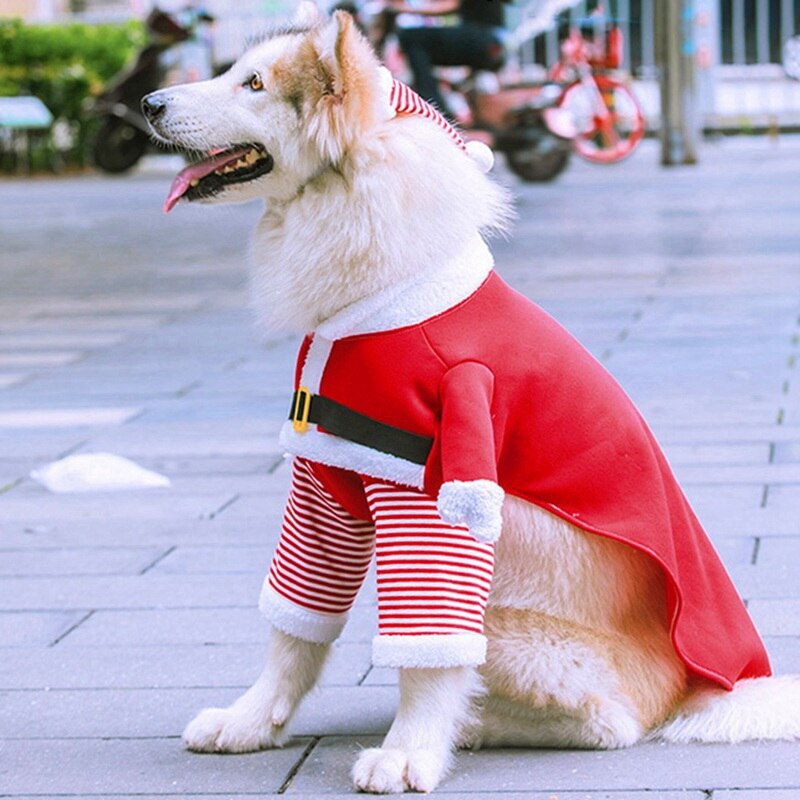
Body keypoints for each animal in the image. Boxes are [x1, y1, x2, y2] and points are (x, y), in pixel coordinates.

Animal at [144, 4, 800, 792]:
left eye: (253, 85)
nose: (147, 103)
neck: (377, 299)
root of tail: (700, 690)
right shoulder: (322, 478)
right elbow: (293, 630)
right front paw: (252, 722)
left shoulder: (436, 487)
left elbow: (427, 662)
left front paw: (408, 752)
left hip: (509, 607)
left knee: (607, 721)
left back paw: (477, 726)